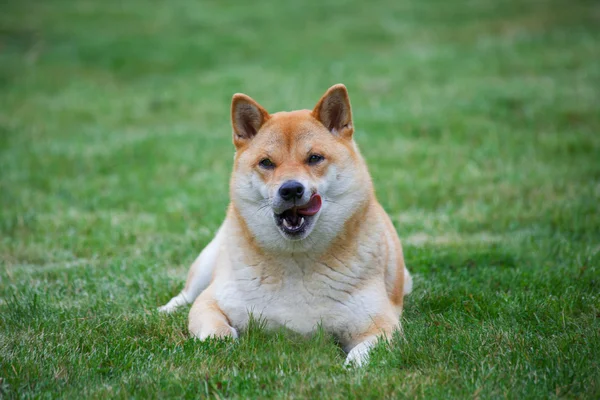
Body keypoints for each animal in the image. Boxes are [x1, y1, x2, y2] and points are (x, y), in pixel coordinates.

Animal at [159, 84, 412, 366]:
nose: (291, 189)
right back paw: (165, 309)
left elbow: (364, 353)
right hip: (209, 262)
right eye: (266, 162)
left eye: (314, 158)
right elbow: (217, 331)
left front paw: (353, 366)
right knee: (186, 294)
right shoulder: (212, 302)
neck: (296, 260)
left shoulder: (381, 324)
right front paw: (223, 344)